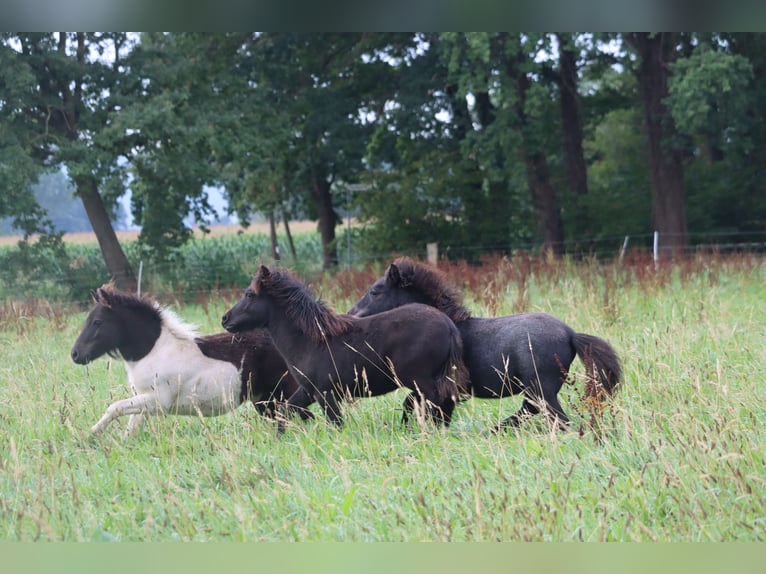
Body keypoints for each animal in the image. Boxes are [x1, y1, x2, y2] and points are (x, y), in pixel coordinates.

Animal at [71, 286, 312, 438]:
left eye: (97, 322)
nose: (75, 354)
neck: (155, 350)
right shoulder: (144, 399)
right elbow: (130, 429)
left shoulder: (158, 401)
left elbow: (115, 407)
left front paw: (90, 434)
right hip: (264, 400)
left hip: (284, 393)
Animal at [350, 258, 624, 432]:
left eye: (375, 291)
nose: (352, 315)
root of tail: (570, 333)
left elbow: (413, 405)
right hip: (536, 391)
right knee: (530, 411)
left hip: (541, 389)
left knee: (556, 419)